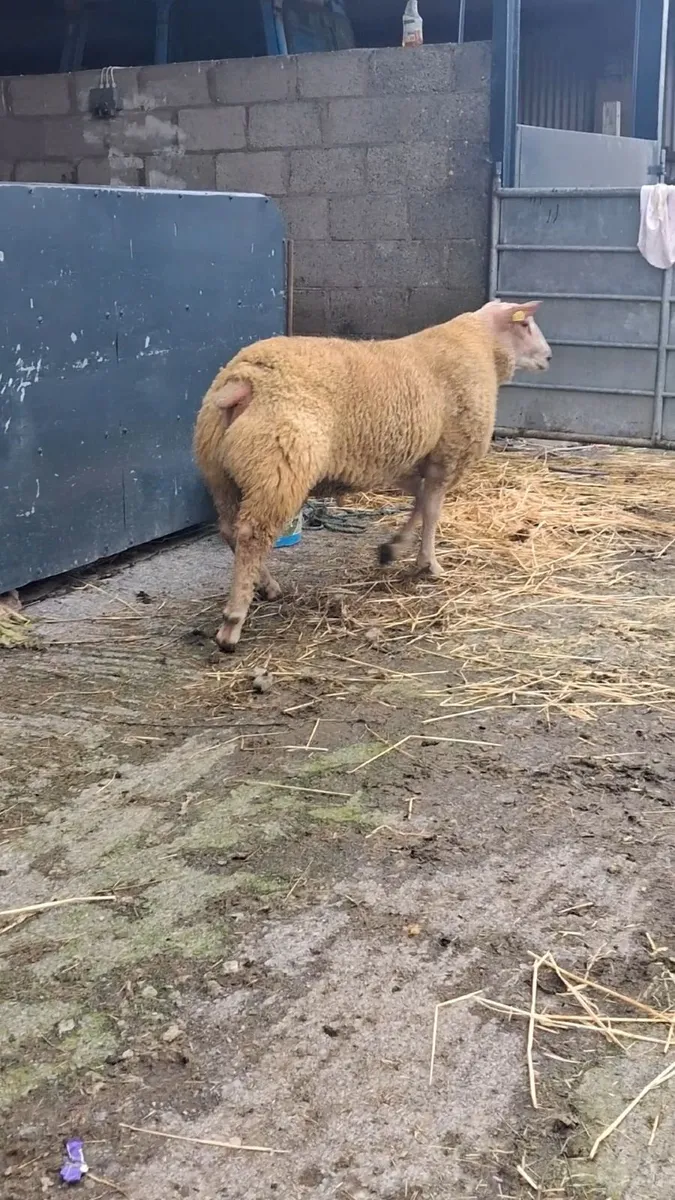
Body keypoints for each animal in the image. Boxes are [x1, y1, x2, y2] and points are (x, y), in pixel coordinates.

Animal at [193, 299, 551, 652]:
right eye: (525, 324)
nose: (549, 357)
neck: (482, 345)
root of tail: (245, 379)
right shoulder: (447, 455)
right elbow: (432, 512)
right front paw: (429, 564)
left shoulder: (405, 463)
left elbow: (419, 502)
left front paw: (393, 548)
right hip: (279, 467)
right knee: (252, 536)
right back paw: (232, 623)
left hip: (221, 471)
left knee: (230, 529)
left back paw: (266, 586)